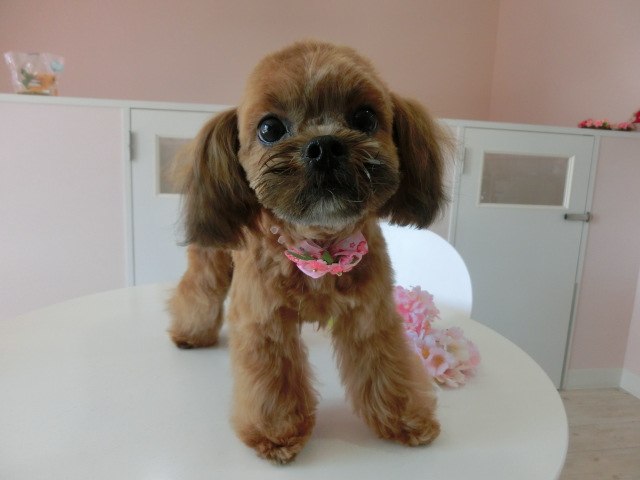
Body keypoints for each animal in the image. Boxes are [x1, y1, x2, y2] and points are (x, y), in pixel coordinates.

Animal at [167, 40, 449, 464]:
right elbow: (272, 381)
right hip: (212, 259)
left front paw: (405, 419)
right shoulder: (265, 323)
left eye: (365, 117)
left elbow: (387, 366)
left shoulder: (371, 317)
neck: (322, 248)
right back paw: (190, 333)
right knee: (198, 290)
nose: (325, 146)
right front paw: (277, 433)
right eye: (269, 128)